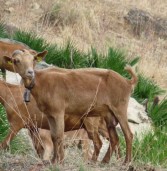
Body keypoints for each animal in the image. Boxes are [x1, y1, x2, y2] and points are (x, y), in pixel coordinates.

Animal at [2, 49, 138, 164]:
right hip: (108, 114)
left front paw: (59, 161)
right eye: (16, 60)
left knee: (128, 134)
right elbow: (54, 136)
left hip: (119, 109)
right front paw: (54, 160)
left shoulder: (59, 111)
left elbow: (59, 135)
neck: (42, 82)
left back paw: (126, 162)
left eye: (33, 59)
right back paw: (103, 162)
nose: (30, 73)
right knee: (114, 138)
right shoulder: (50, 114)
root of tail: (128, 82)